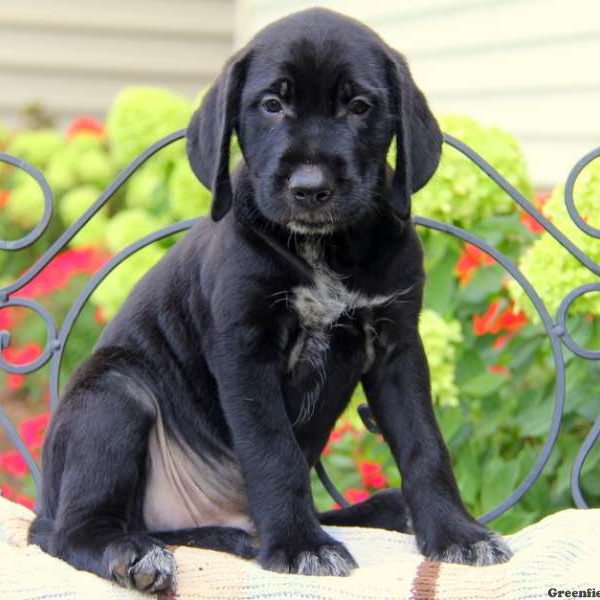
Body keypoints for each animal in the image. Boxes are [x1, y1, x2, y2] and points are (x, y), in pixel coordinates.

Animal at [29, 7, 510, 592]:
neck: (322, 248)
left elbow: (425, 445)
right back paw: (136, 553)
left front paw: (455, 531)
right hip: (115, 394)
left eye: (359, 106)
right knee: (74, 532)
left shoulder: (396, 345)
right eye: (271, 105)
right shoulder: (245, 351)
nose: (310, 187)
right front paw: (300, 545)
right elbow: (274, 453)